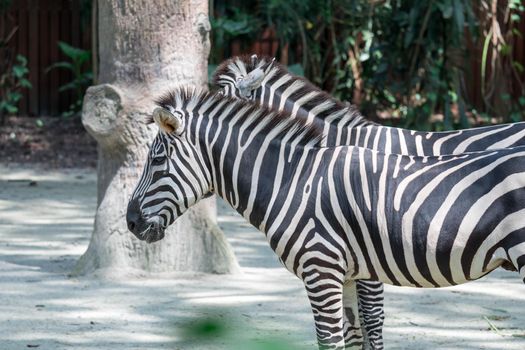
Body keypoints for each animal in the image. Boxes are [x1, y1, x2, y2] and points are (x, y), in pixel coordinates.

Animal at [126, 88, 524, 350]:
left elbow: (334, 339)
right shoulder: (347, 273)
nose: (129, 222)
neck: (292, 181)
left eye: (157, 161)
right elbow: (354, 337)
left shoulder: (321, 270)